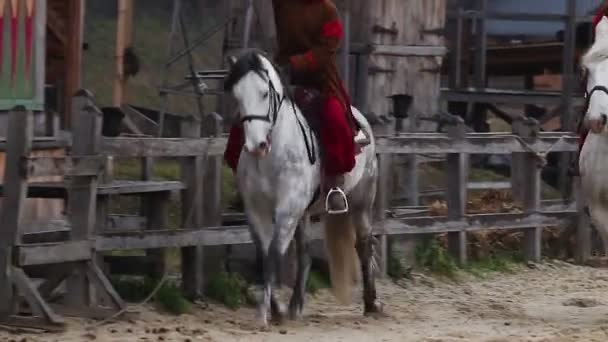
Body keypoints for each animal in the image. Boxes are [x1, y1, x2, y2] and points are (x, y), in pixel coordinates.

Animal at [223, 50, 382, 326]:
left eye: (264, 93)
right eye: (237, 95)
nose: (256, 145)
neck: (273, 156)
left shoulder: (287, 209)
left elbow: (274, 254)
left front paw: (264, 313)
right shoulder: (257, 211)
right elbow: (263, 256)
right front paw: (275, 308)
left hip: (361, 202)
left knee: (363, 245)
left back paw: (372, 304)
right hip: (304, 213)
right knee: (304, 253)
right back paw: (295, 306)